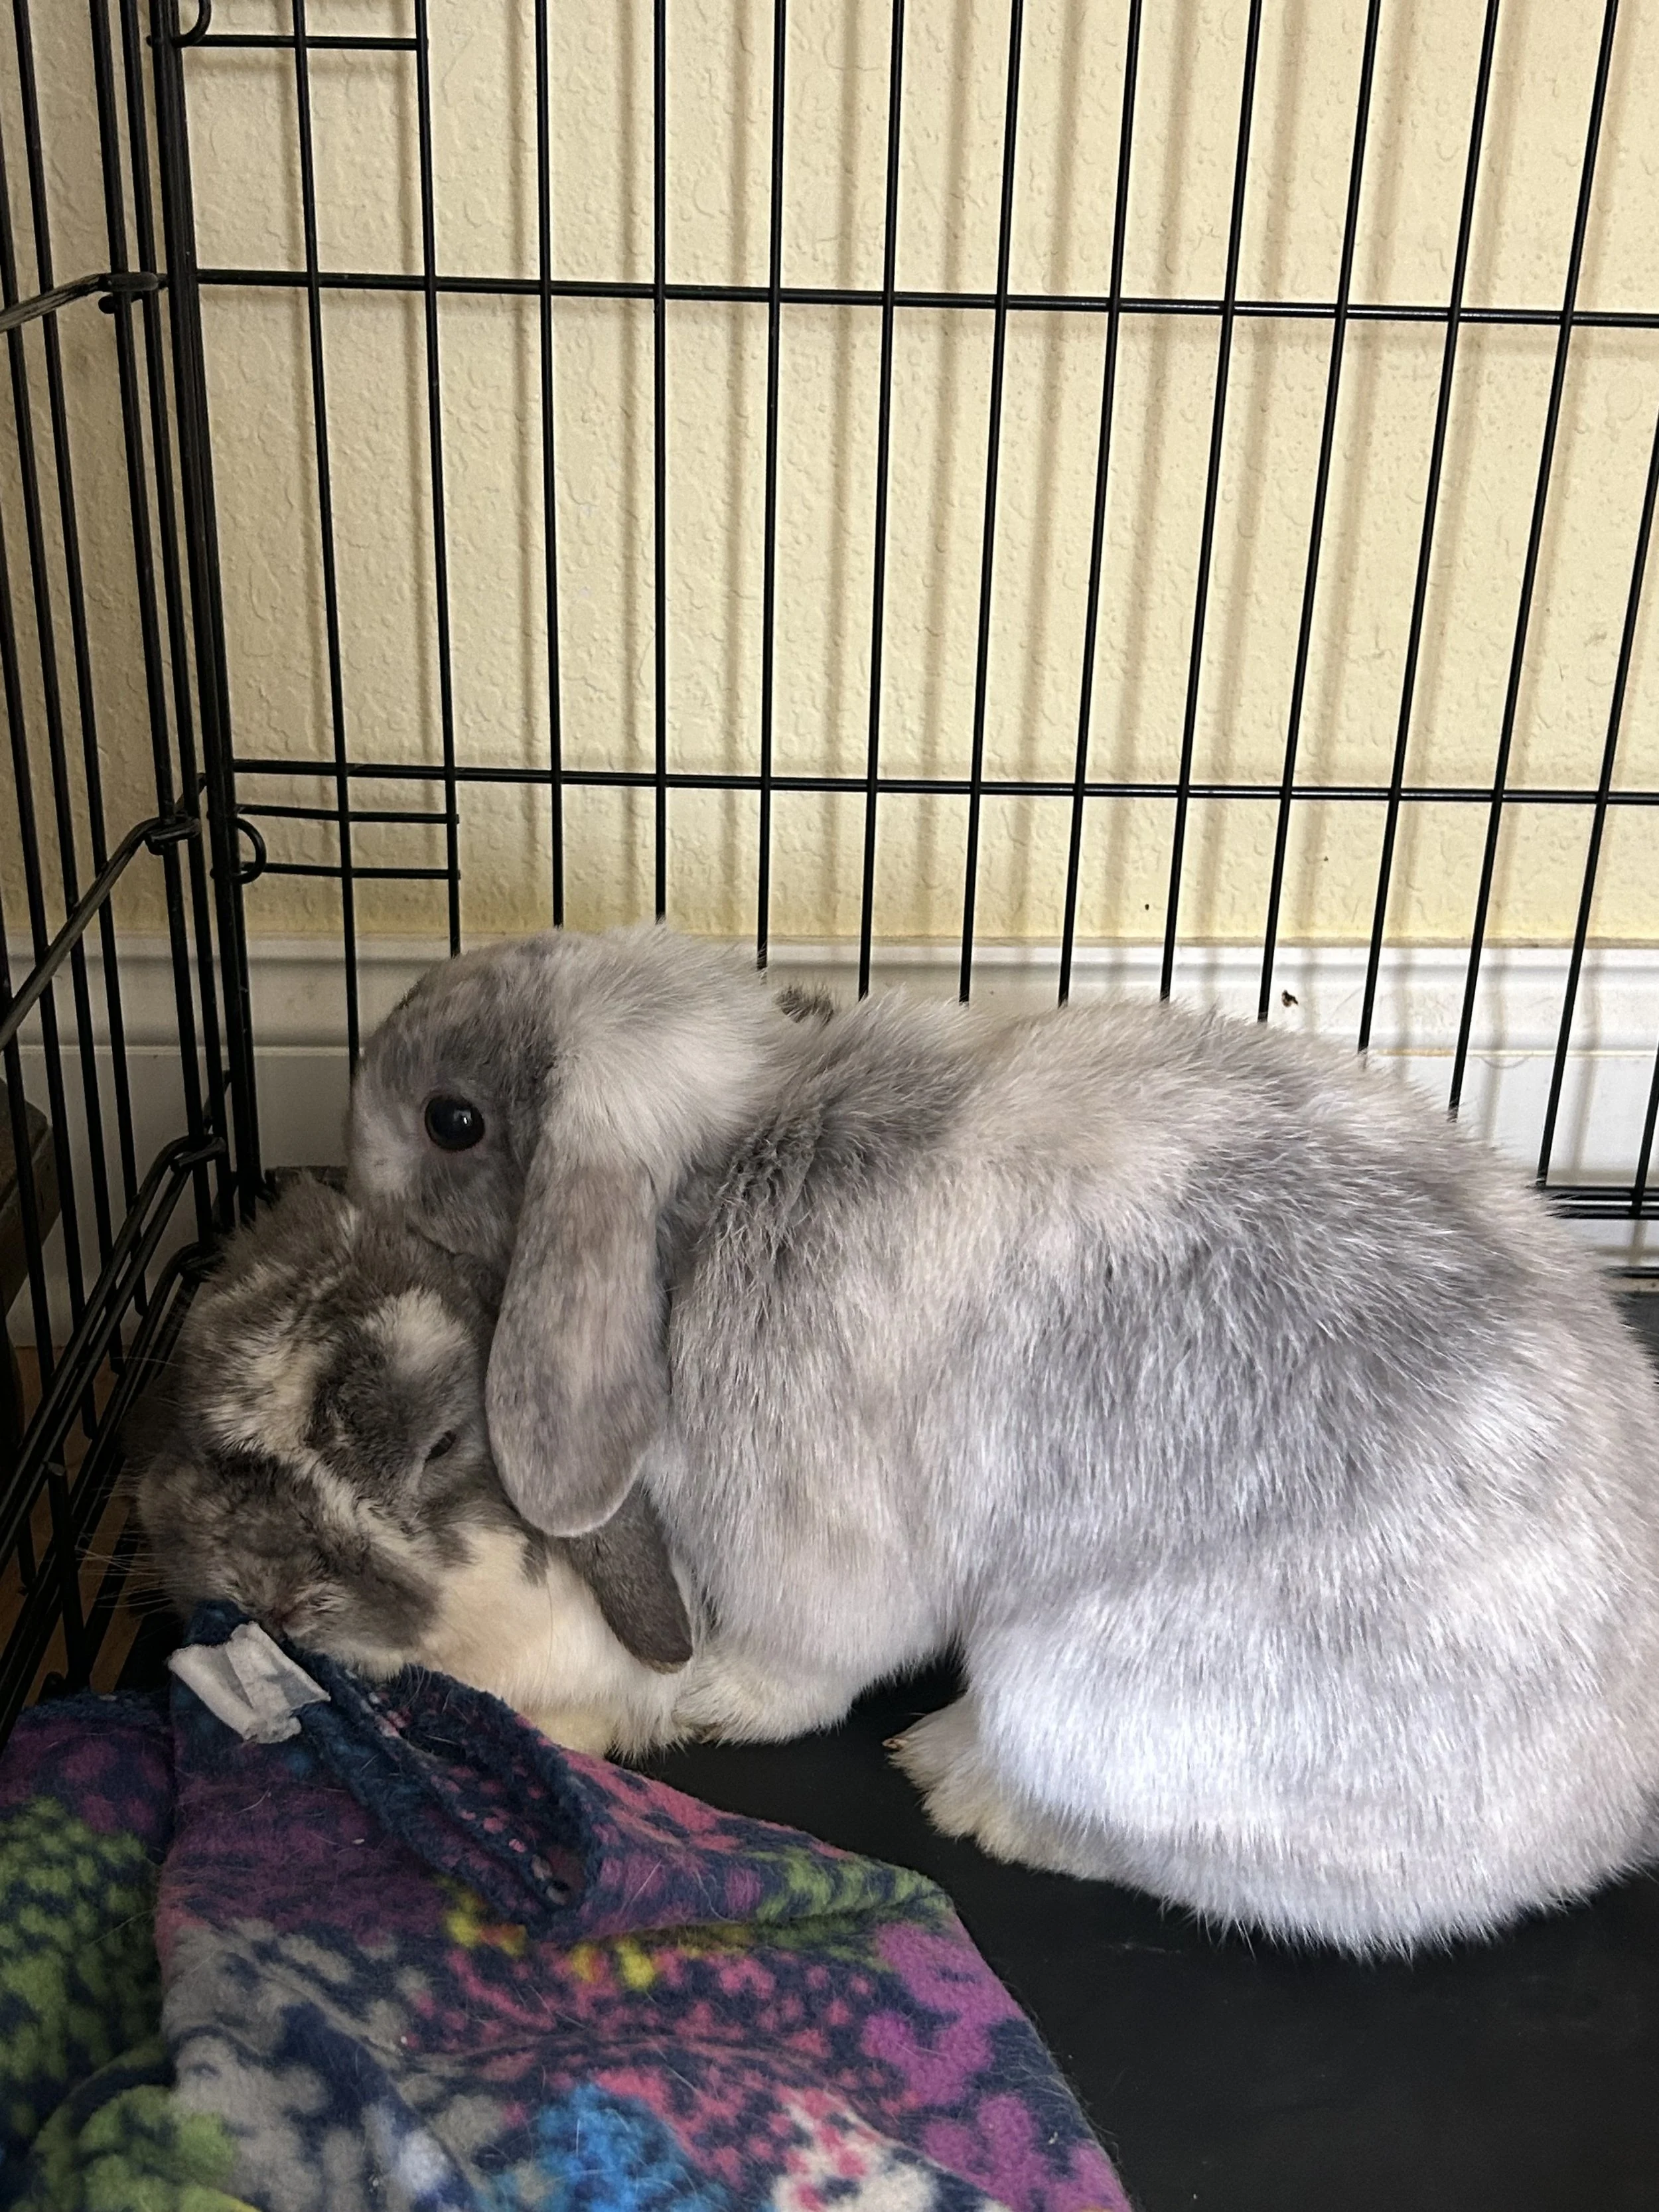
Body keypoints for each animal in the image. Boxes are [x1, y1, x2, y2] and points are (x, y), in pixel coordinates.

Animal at [345, 923, 1659, 1951]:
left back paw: (960, 1783)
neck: (721, 1179)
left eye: (453, 1120)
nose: (350, 1194)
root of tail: (1603, 1819)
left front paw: (710, 1694)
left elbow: (807, 1668)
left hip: (1088, 1699)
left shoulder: (814, 1538)